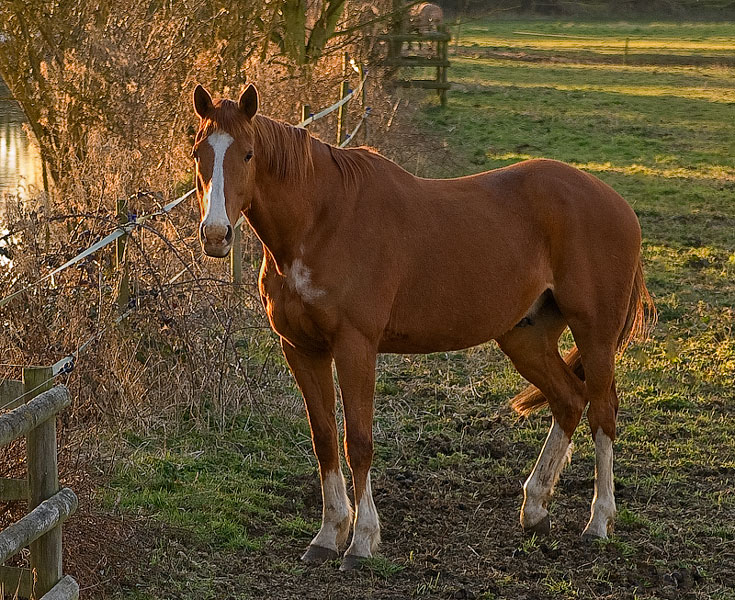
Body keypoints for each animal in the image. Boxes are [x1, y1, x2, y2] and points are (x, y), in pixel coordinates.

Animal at [191, 83, 656, 568]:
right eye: (197, 153)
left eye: (247, 154)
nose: (216, 235)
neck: (321, 221)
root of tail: (616, 203)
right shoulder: (301, 347)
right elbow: (324, 439)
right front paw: (328, 535)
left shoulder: (355, 345)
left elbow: (358, 441)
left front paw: (361, 541)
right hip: (525, 336)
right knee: (568, 400)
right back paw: (535, 509)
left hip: (595, 332)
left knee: (602, 412)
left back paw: (598, 523)